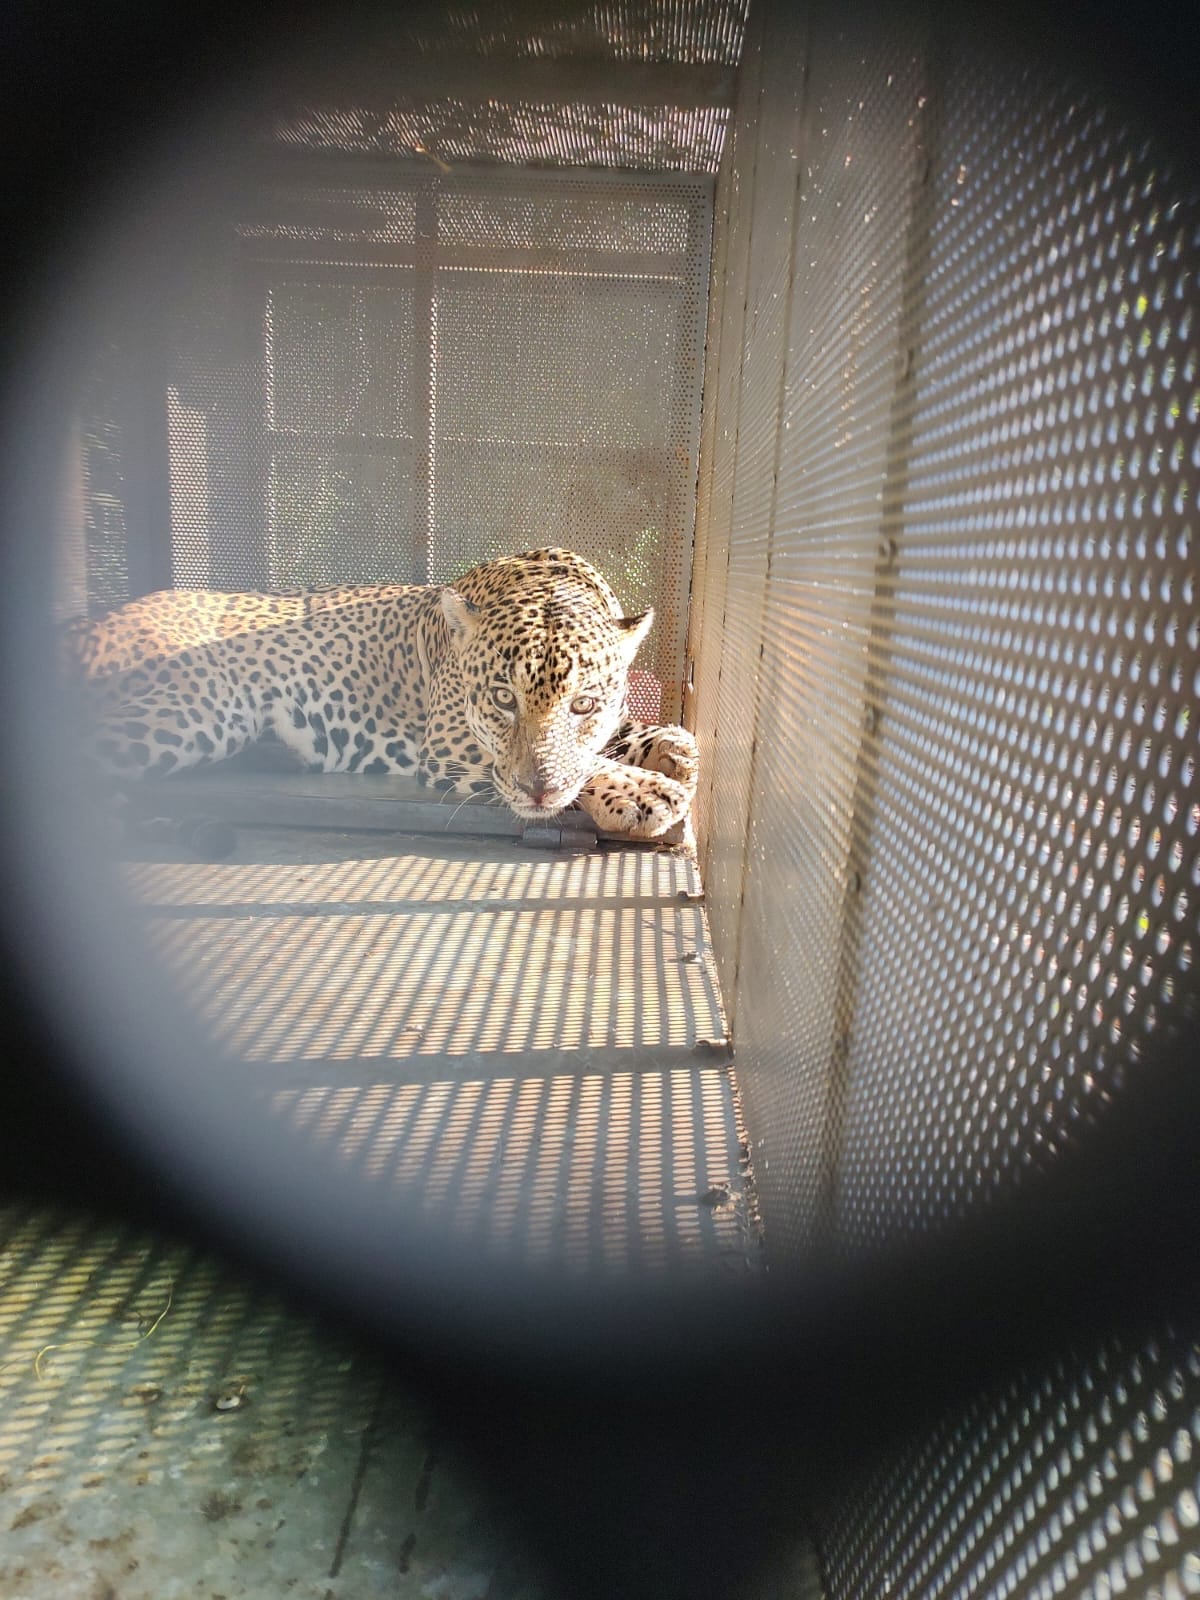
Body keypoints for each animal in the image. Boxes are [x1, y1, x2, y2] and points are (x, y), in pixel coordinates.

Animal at [68, 548, 699, 843]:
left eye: (583, 704)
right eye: (501, 698)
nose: (537, 791)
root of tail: (92, 623)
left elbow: (619, 736)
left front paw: (673, 749)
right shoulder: (447, 744)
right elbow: (582, 765)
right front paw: (643, 791)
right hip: (196, 708)